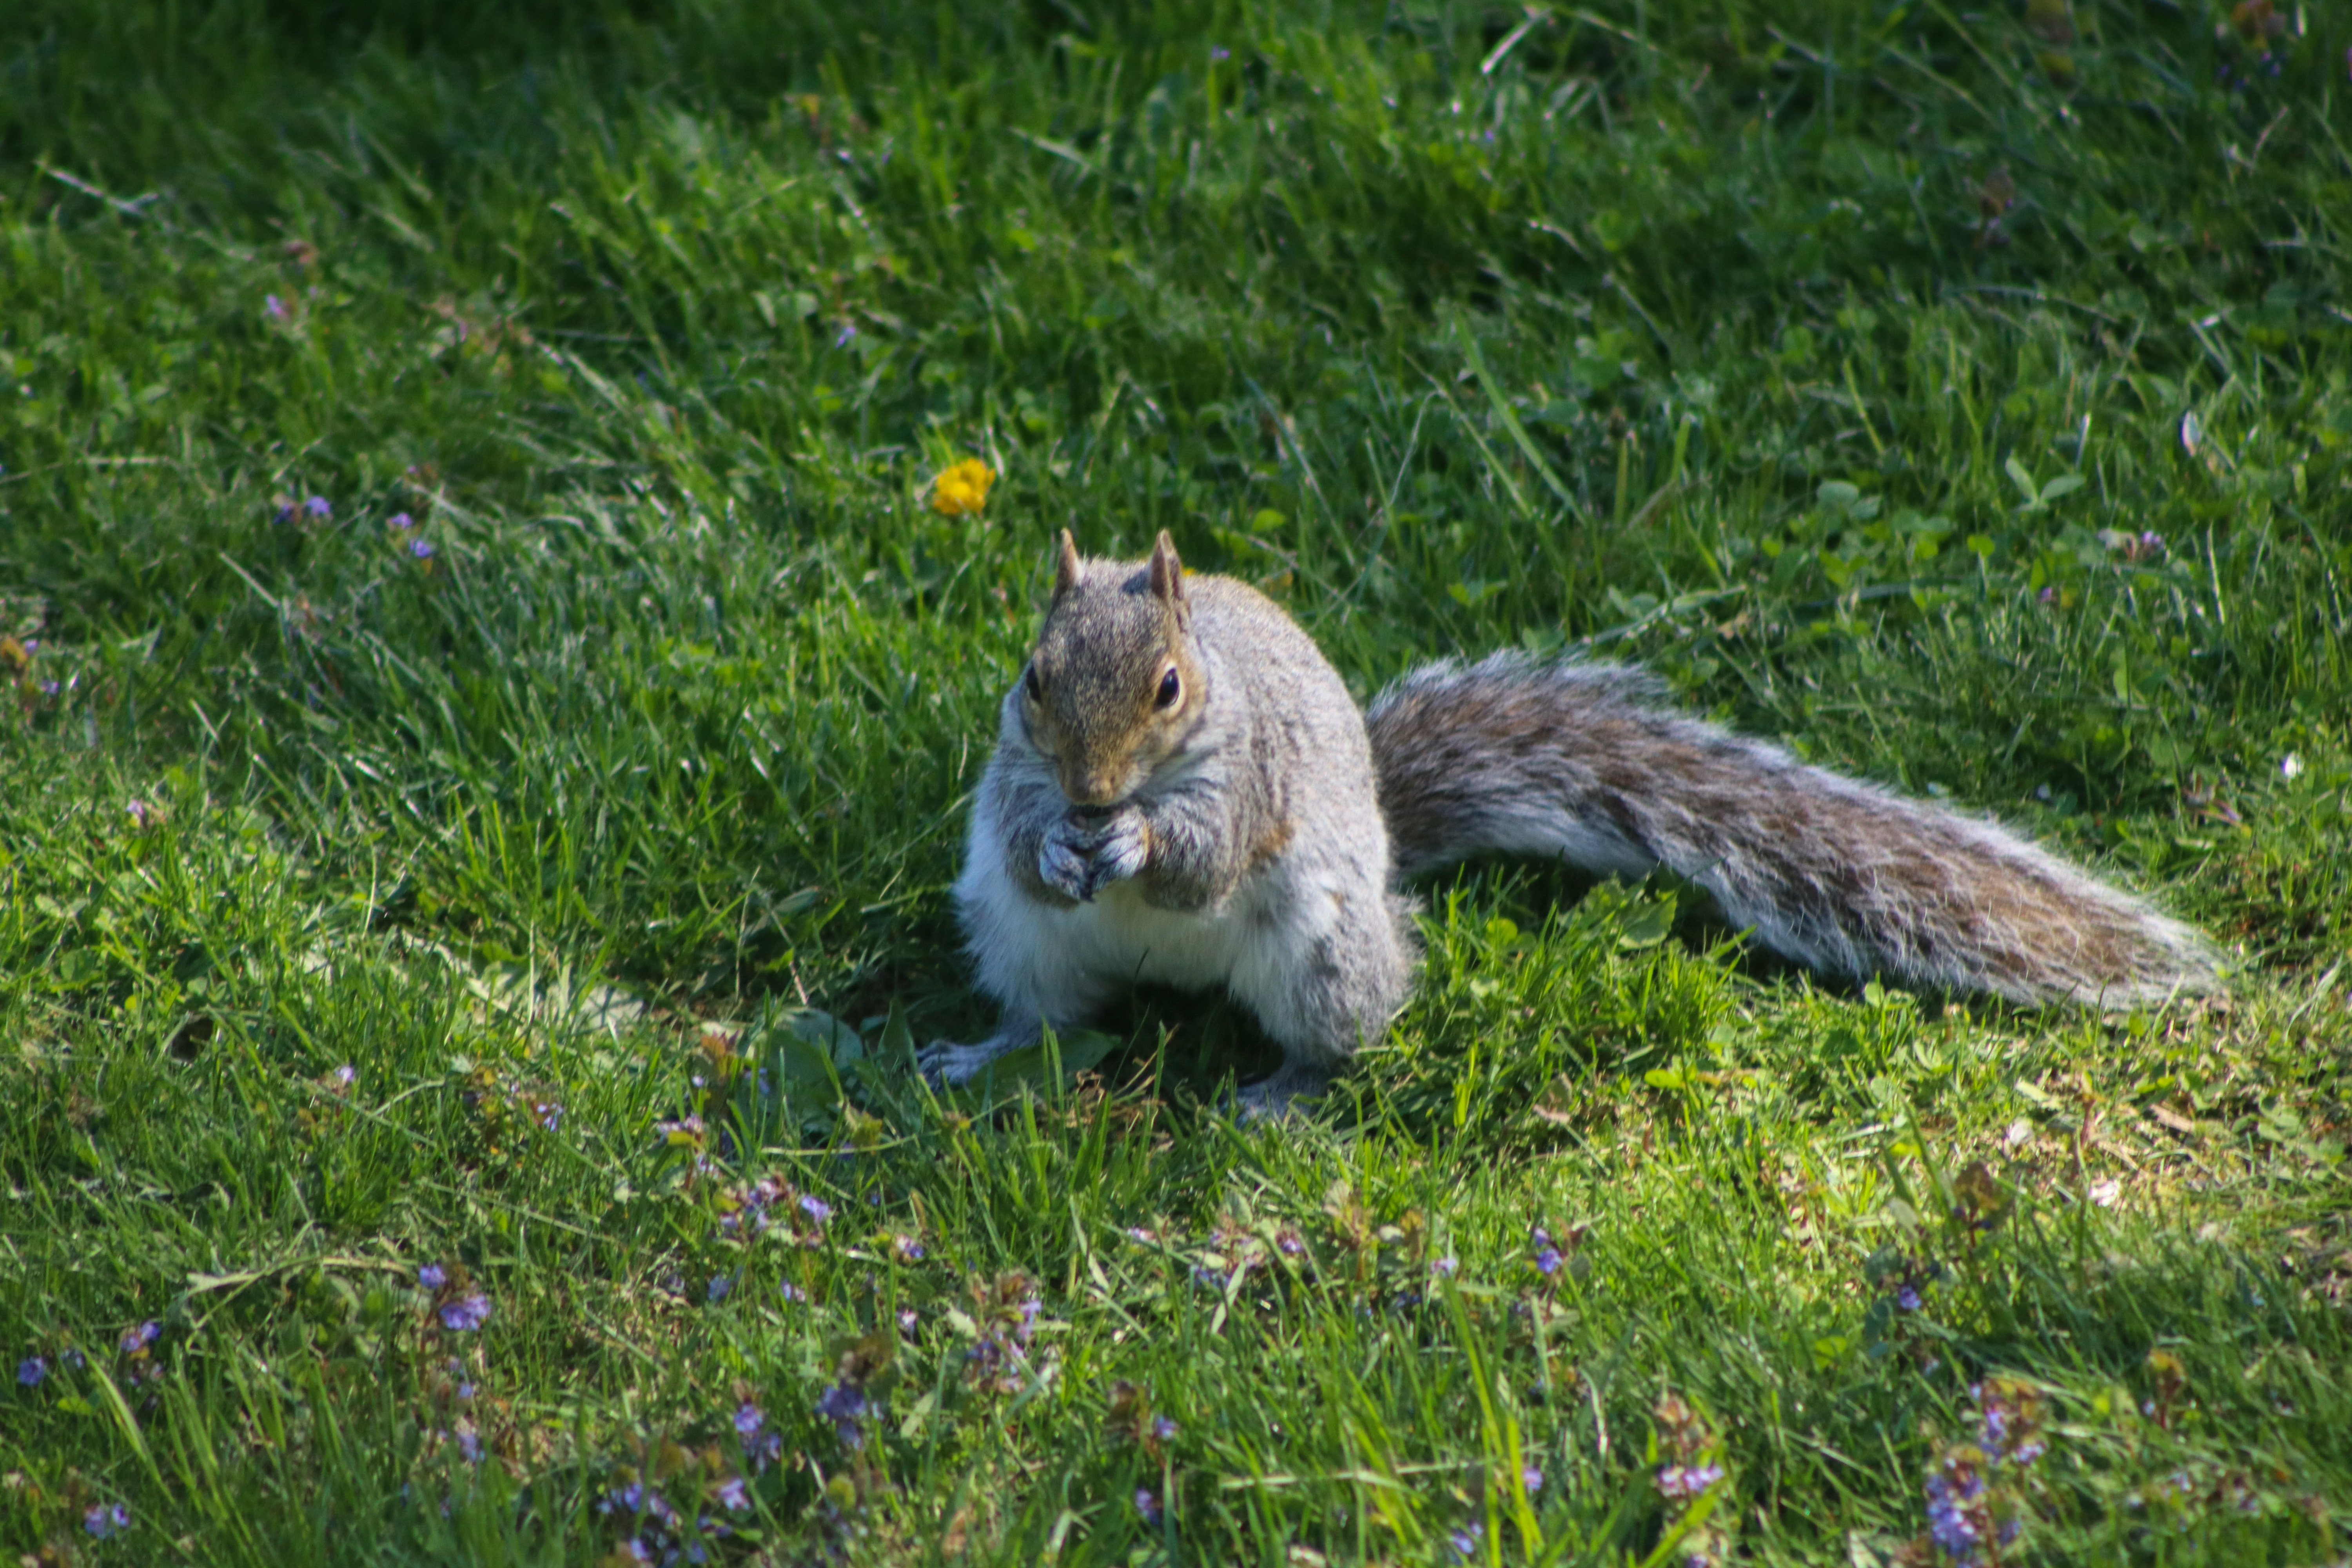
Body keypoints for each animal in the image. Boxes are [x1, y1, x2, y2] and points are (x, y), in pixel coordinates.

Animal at [919, 530, 2221, 1114]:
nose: (1092, 795)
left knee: (1343, 1030)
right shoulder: (1015, 777)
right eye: (1032, 679)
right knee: (1049, 1018)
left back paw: (1289, 1089)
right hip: (1020, 942)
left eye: (1169, 689)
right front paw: (1060, 844)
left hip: (1323, 952)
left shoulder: (1252, 782)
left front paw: (1142, 844)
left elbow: (1205, 856)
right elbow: (1024, 837)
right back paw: (977, 1054)